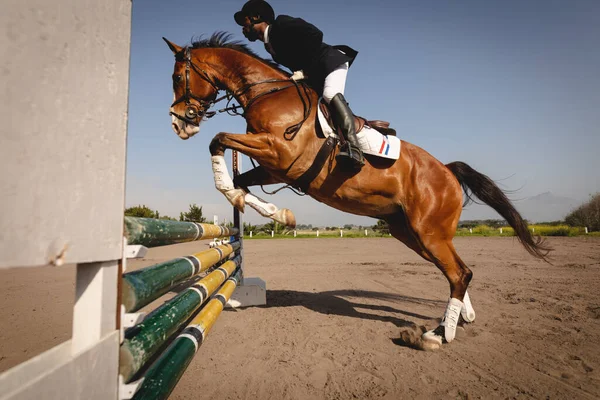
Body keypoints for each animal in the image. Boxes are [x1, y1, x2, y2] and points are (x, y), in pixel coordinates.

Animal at [162, 32, 552, 350]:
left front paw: (272, 211)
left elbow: (217, 139)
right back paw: (460, 319)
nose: (179, 123)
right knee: (456, 271)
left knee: (460, 273)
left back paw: (439, 334)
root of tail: (448, 171)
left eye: (177, 77)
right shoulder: (277, 167)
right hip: (410, 232)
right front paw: (273, 211)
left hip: (428, 231)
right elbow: (238, 181)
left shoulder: (280, 151)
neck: (267, 93)